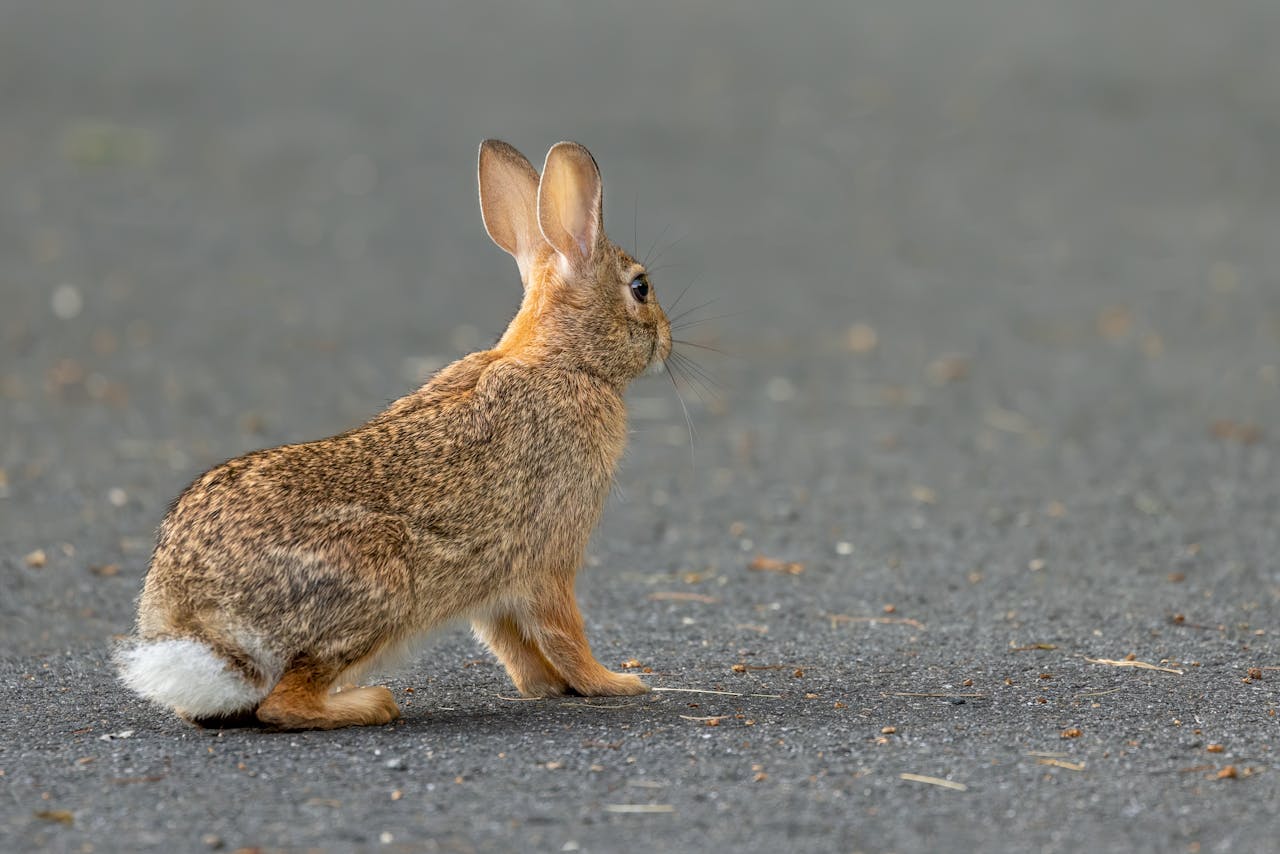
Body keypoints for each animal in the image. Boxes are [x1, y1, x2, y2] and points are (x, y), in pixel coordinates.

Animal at [116, 140, 672, 730]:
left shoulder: (493, 585)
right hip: (379, 581)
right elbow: (564, 631)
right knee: (283, 701)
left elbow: (510, 642)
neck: (564, 358)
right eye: (640, 288)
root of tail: (192, 627)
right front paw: (614, 684)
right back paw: (373, 702)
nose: (666, 338)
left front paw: (544, 687)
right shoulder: (551, 556)